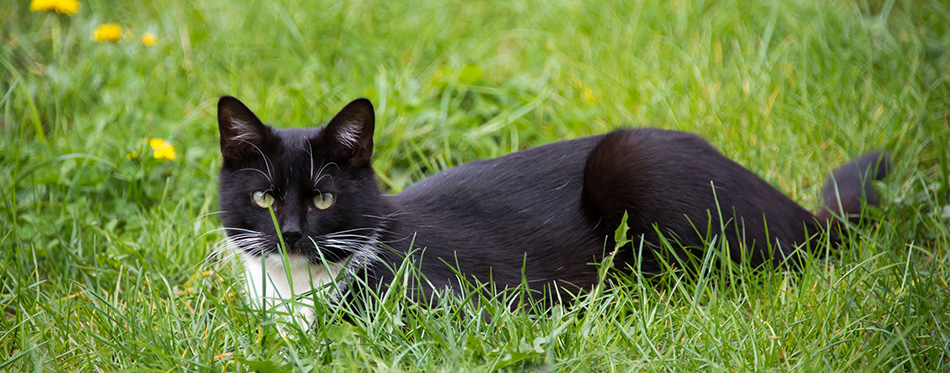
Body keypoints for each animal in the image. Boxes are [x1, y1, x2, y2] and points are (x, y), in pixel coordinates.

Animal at [218, 94, 892, 318]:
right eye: (263, 197)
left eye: (324, 197)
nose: (291, 233)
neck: (296, 293)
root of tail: (803, 213)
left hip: (632, 162)